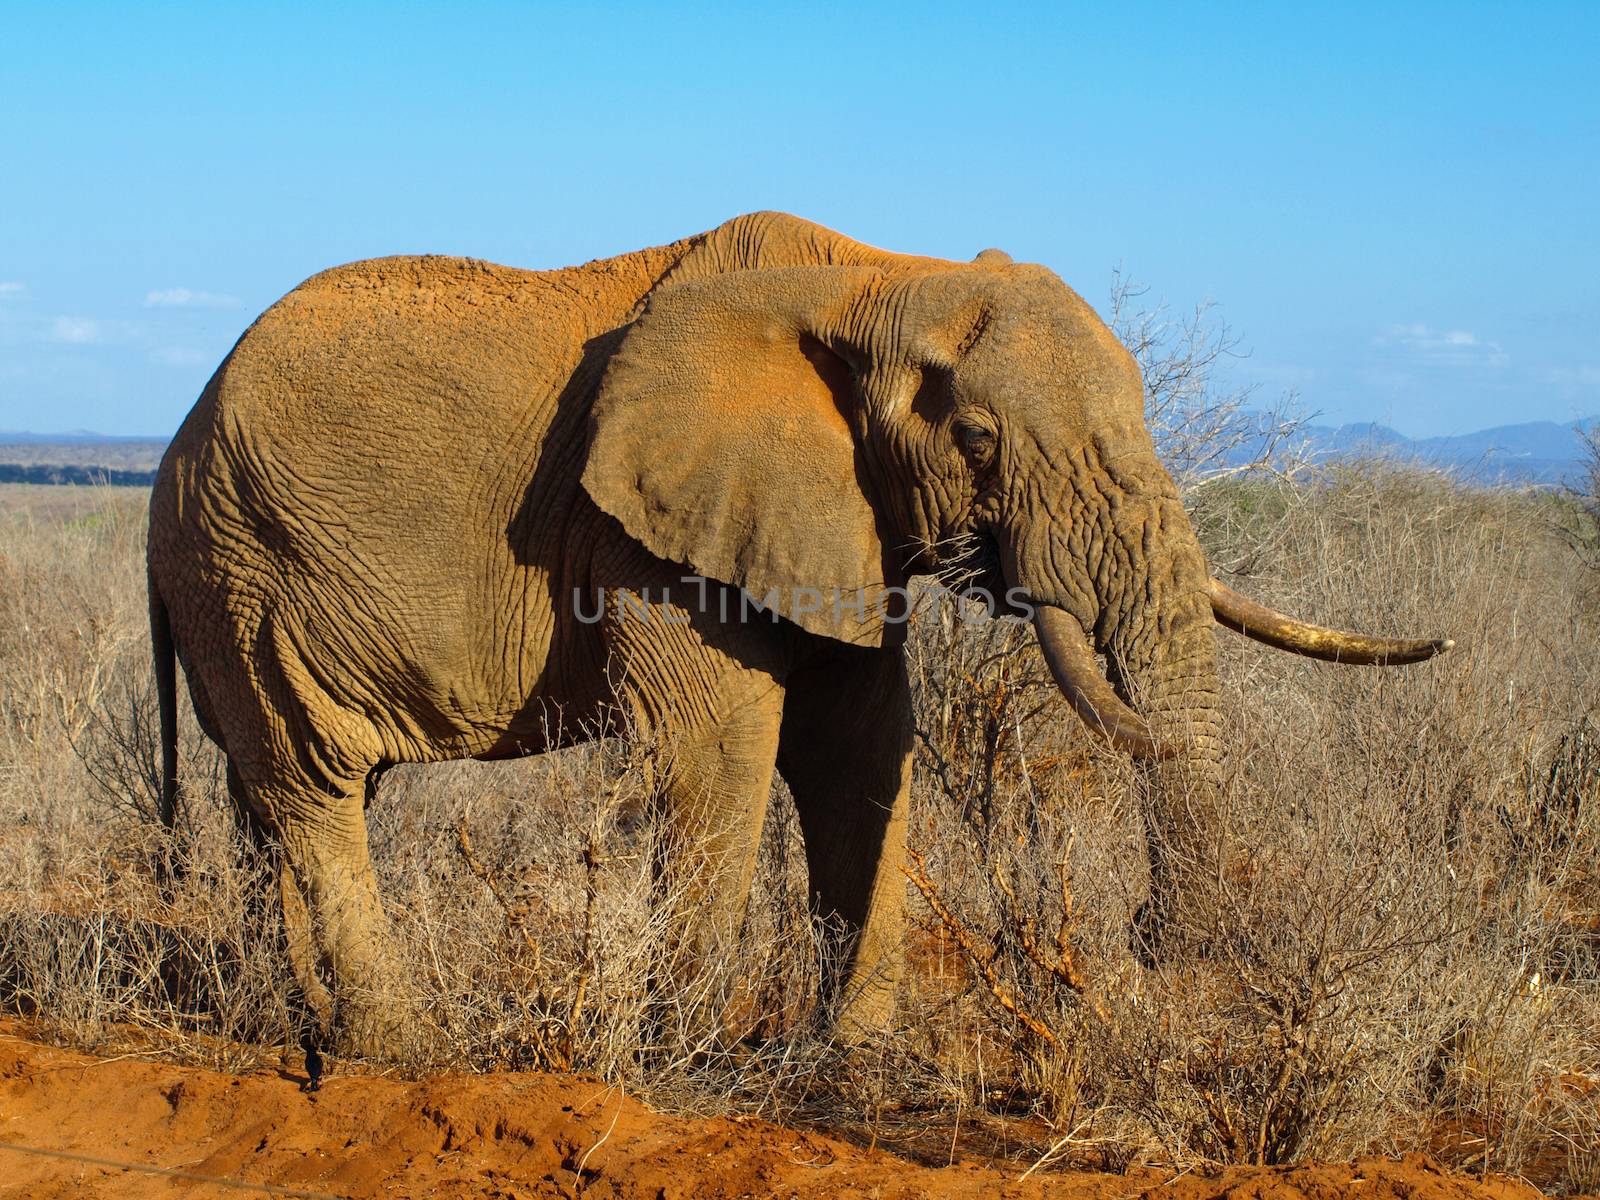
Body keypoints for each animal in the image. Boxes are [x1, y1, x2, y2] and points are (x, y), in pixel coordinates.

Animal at [150, 211, 1452, 1068]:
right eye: (979, 440)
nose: (1155, 941)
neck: (879, 279)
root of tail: (175, 438)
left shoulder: (831, 517)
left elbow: (860, 746)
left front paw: (859, 1063)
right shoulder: (651, 527)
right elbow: (723, 746)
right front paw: (680, 1060)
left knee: (275, 803)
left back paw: (293, 1024)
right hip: (243, 562)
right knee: (314, 785)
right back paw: (401, 1052)